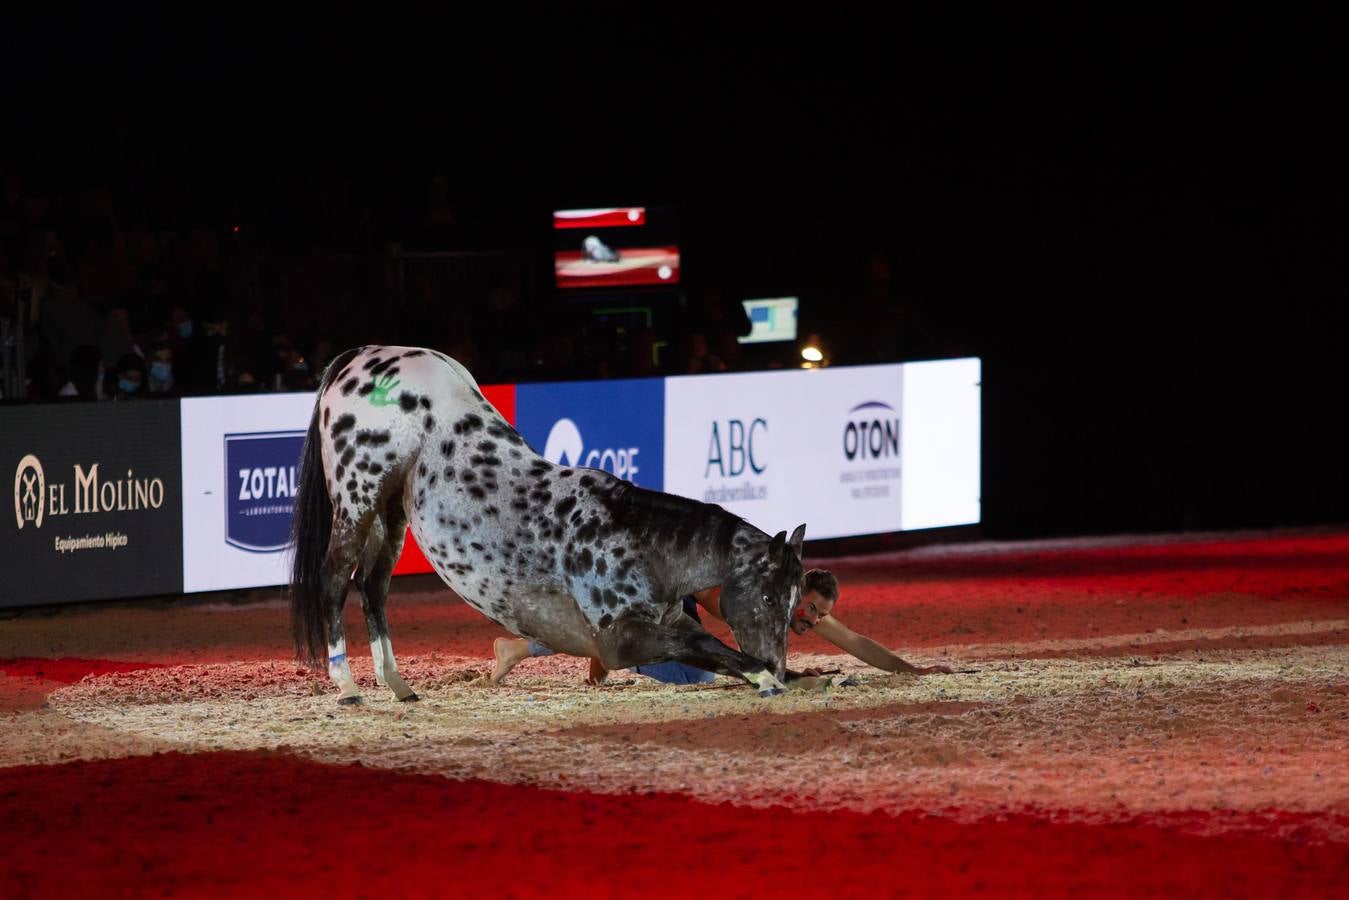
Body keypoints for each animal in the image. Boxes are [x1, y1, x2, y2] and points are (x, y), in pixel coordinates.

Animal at [288, 345, 804, 701]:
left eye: (793, 602)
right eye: (769, 597)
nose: (777, 663)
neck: (636, 538)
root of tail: (361, 356)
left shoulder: (665, 621)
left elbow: (705, 644)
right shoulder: (622, 640)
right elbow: (706, 646)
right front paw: (763, 676)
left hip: (390, 514)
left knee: (372, 588)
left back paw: (396, 682)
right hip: (357, 501)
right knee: (334, 583)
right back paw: (347, 685)